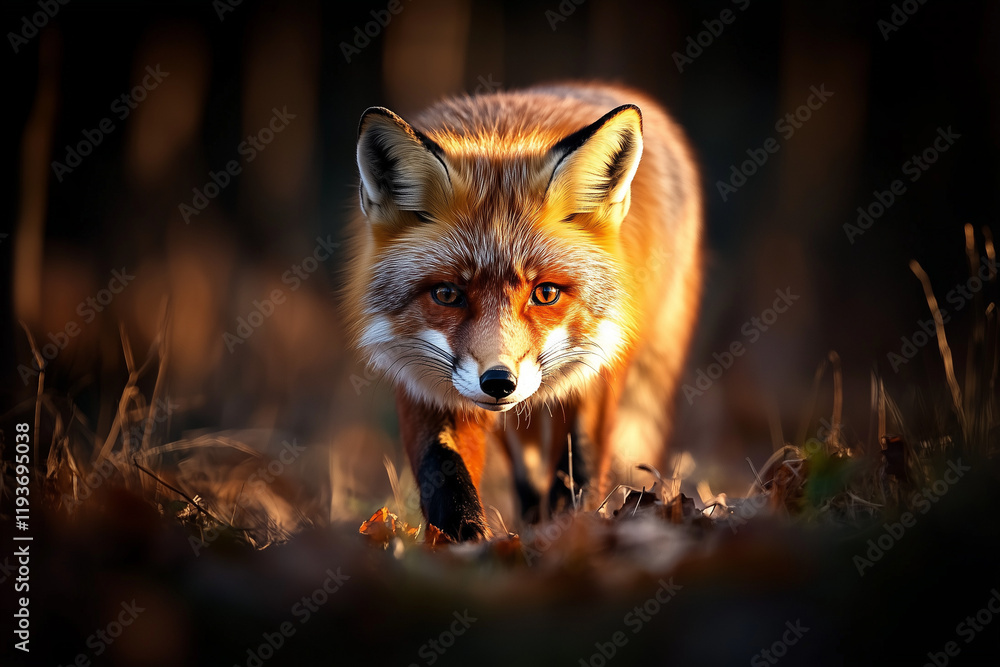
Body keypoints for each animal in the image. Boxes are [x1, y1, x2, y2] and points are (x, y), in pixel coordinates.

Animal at [346, 81, 702, 541]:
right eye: (446, 294)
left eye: (545, 293)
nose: (499, 382)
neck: (500, 137)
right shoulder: (423, 382)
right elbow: (443, 474)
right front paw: (466, 542)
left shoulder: (598, 366)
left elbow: (580, 467)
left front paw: (569, 533)